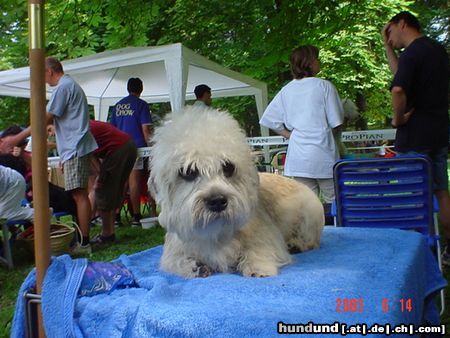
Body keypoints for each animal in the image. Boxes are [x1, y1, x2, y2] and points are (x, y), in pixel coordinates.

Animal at [150, 107, 324, 278]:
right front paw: (195, 267)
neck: (216, 232)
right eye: (188, 172)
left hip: (310, 213)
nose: (217, 201)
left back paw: (297, 244)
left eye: (228, 167)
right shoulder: (174, 251)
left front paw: (258, 268)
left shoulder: (266, 236)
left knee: (312, 240)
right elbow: (176, 260)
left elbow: (258, 249)